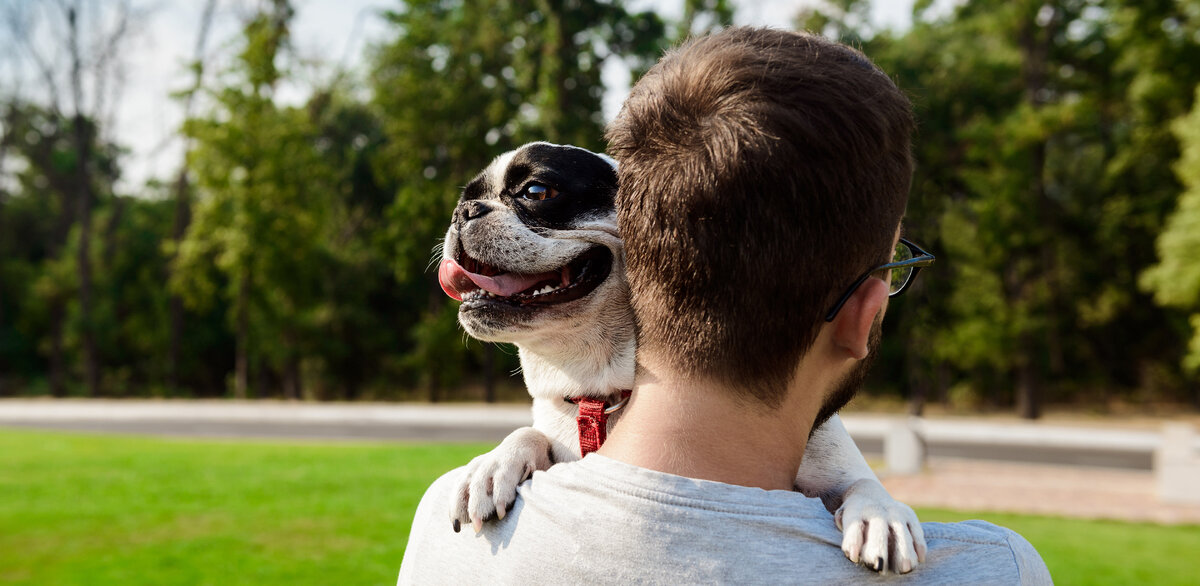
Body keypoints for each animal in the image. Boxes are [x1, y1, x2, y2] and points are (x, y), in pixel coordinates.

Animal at [439, 142, 926, 576]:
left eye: (536, 192)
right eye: (464, 200)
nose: (463, 212)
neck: (604, 390)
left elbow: (864, 482)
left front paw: (882, 515)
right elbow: (529, 432)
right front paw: (492, 465)